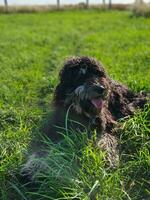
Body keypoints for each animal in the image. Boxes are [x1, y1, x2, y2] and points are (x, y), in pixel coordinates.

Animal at [21, 56, 149, 180]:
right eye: (81, 77)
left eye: (98, 74)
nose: (101, 88)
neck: (81, 113)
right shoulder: (53, 129)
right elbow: (41, 148)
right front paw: (33, 166)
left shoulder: (105, 127)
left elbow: (107, 140)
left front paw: (108, 159)